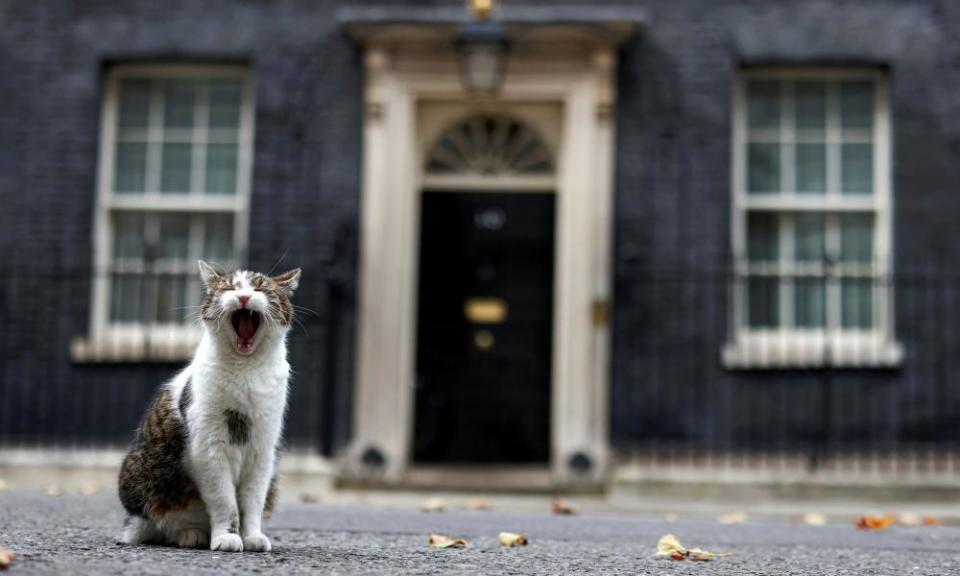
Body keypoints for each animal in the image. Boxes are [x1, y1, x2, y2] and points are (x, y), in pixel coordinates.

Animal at [119, 260, 300, 552]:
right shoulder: (208, 449)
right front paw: (227, 537)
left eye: (260, 288)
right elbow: (225, 502)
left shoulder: (263, 451)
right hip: (142, 477)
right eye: (229, 288)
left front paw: (251, 536)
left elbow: (252, 502)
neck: (245, 370)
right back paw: (192, 535)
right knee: (164, 525)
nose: (243, 297)